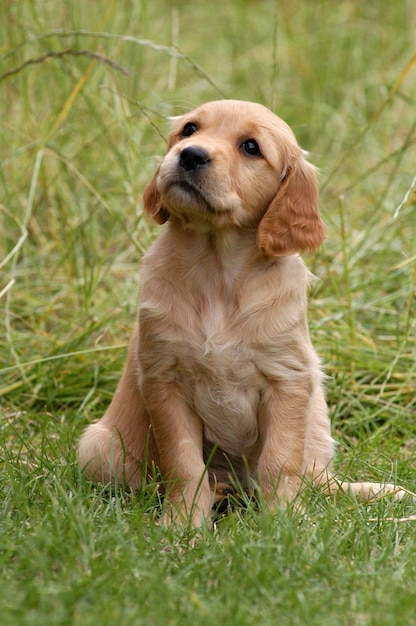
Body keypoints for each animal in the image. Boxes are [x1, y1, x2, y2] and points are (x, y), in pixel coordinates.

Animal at [78, 100, 406, 524]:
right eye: (189, 129)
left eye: (251, 147)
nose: (190, 154)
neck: (217, 269)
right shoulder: (164, 379)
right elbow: (184, 462)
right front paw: (183, 524)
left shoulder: (287, 379)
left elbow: (281, 462)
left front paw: (286, 522)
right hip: (97, 449)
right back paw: (218, 494)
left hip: (316, 419)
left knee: (318, 480)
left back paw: (381, 493)